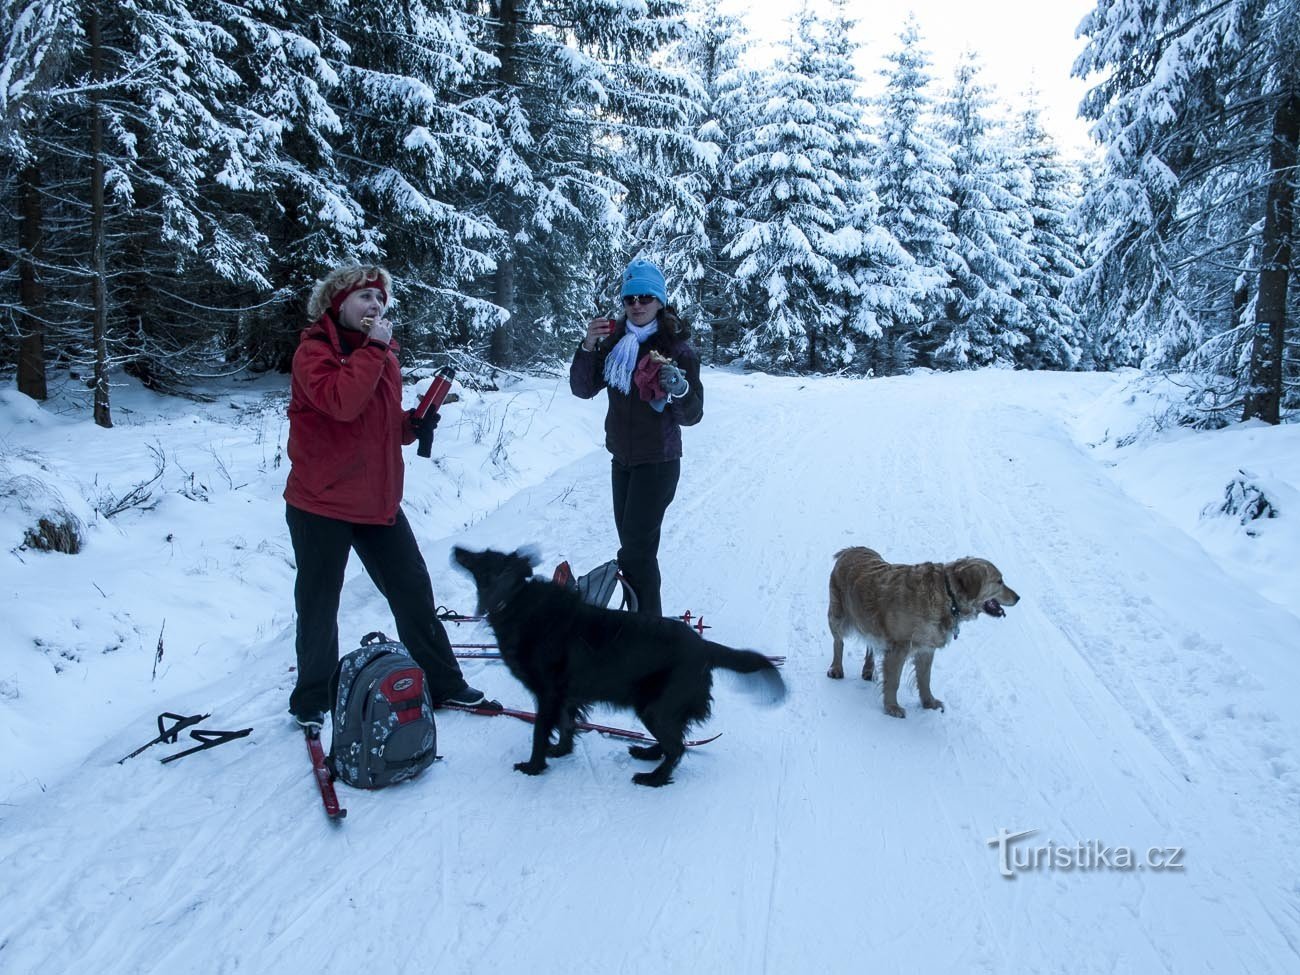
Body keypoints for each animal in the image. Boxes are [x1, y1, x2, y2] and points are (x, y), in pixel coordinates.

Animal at [452, 546, 785, 790]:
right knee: (672, 742)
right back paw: (647, 754)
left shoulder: (548, 694)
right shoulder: (566, 695)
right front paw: (560, 751)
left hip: (655, 706)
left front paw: (533, 766)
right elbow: (566, 724)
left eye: (482, 556)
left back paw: (654, 778)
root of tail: (704, 648)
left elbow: (539, 732)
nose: (457, 549)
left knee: (677, 747)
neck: (518, 601)